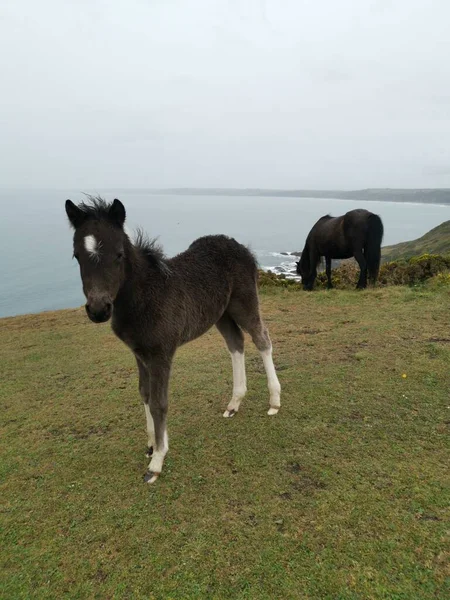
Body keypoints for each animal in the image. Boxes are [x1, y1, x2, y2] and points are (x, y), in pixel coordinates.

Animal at [65, 197, 282, 482]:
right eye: (77, 256)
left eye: (119, 255)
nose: (99, 309)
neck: (144, 296)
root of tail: (238, 245)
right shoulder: (139, 353)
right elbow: (145, 393)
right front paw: (151, 444)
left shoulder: (161, 354)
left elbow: (159, 403)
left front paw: (157, 460)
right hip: (220, 313)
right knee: (236, 343)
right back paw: (234, 403)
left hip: (244, 303)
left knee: (262, 339)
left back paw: (274, 401)